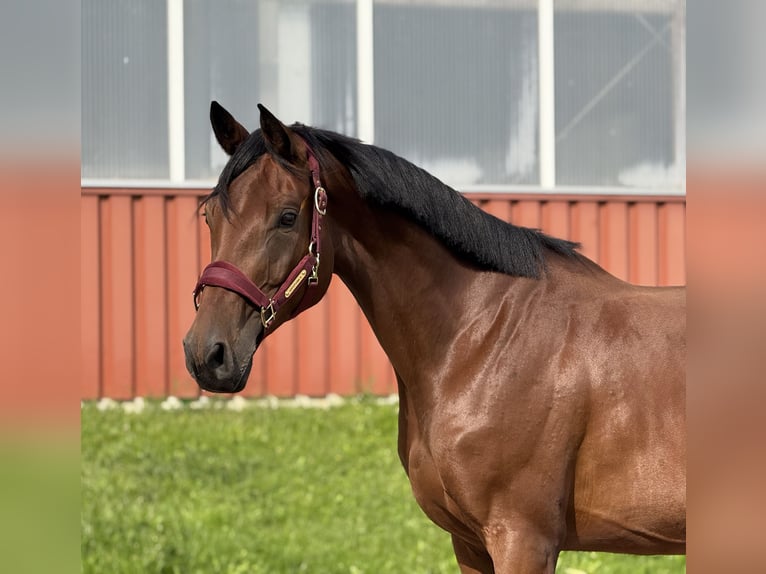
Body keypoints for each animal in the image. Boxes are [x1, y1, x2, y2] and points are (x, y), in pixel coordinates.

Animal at [183, 102, 686, 573]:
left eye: (287, 217)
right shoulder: (469, 543)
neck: (482, 339)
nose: (207, 354)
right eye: (209, 217)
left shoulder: (524, 540)